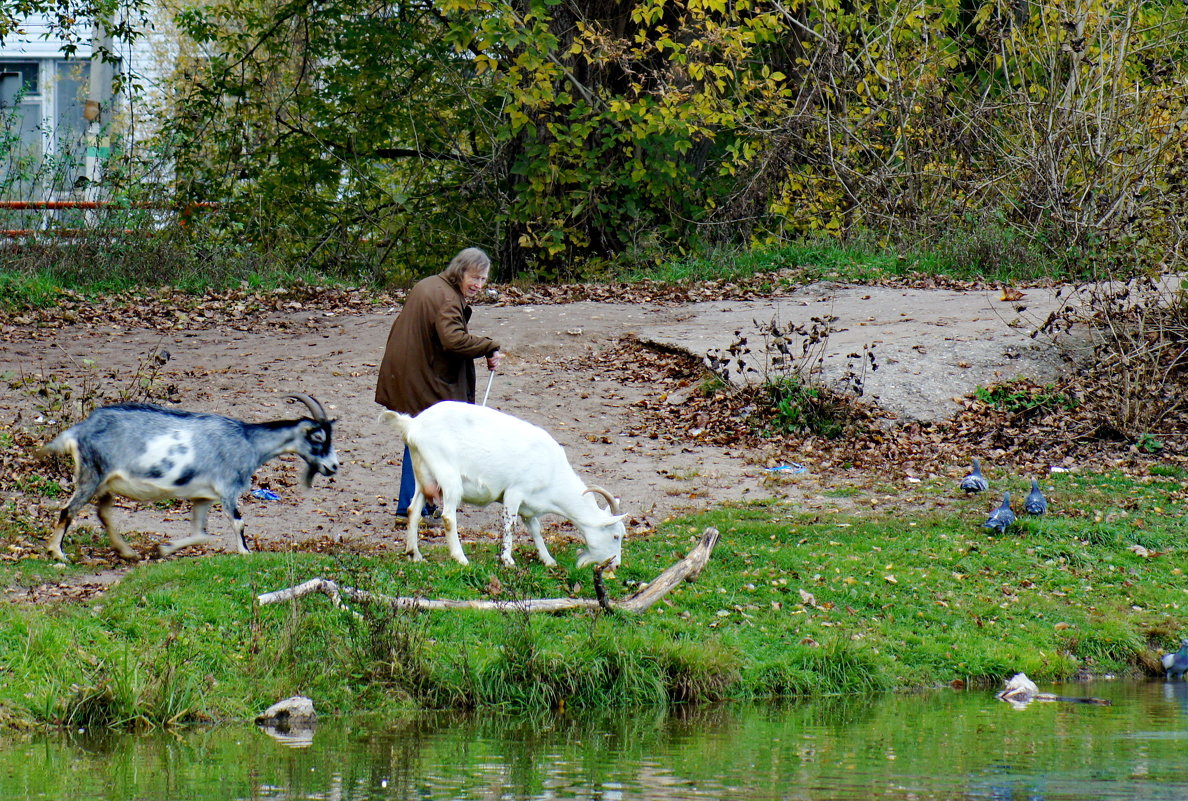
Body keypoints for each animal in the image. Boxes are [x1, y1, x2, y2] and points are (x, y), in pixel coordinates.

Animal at [39, 392, 337, 558]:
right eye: (318, 438)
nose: (333, 467)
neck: (248, 441)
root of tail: (81, 429)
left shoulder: (203, 497)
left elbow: (201, 533)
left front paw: (162, 549)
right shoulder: (227, 489)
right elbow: (238, 523)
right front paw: (245, 552)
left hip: (107, 483)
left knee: (103, 513)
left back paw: (128, 553)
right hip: (92, 475)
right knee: (68, 510)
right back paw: (58, 553)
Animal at [380, 399, 627, 568]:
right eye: (615, 535)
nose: (616, 565)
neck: (553, 474)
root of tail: (413, 425)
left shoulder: (530, 506)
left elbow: (536, 530)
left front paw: (548, 560)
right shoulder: (515, 492)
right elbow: (510, 524)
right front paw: (507, 560)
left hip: (424, 475)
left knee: (413, 510)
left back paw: (415, 554)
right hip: (448, 476)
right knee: (448, 516)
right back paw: (460, 558)